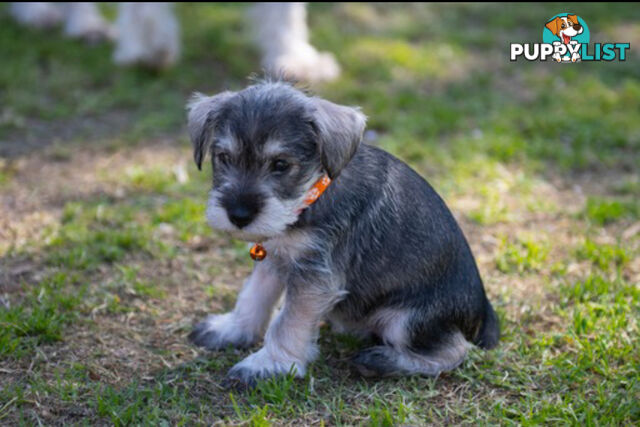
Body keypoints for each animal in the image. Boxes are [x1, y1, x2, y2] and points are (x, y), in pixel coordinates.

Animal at [185, 79, 500, 384]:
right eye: (224, 157)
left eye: (281, 164)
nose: (238, 215)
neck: (311, 196)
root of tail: (485, 314)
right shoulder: (276, 256)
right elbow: (254, 295)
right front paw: (231, 328)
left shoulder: (315, 277)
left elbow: (288, 322)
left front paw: (268, 365)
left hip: (407, 319)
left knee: (454, 350)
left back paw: (379, 361)